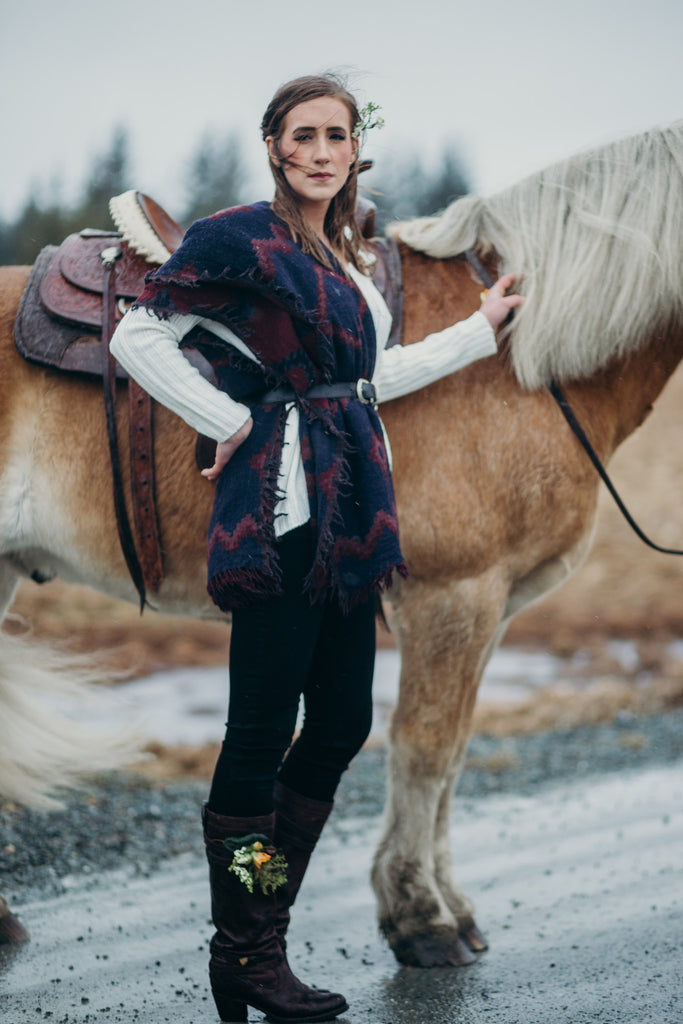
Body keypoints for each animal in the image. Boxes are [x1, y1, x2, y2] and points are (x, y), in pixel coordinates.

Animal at [1, 123, 683, 962]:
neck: (521, 363)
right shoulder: (451, 597)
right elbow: (425, 748)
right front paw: (419, 915)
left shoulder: (488, 611)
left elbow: (453, 754)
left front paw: (448, 905)